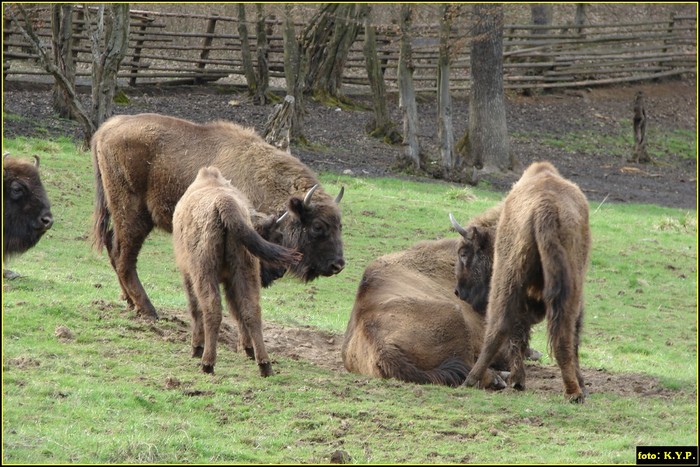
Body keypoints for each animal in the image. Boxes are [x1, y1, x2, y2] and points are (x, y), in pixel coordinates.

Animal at [93, 112, 344, 322]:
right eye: (318, 226)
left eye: (339, 225)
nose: (338, 264)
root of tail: (107, 129)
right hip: (133, 214)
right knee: (124, 256)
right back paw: (149, 310)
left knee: (113, 247)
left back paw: (131, 302)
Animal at [172, 166, 300, 378]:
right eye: (275, 236)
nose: (280, 272)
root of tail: (225, 203)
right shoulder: (231, 280)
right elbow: (238, 311)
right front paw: (247, 349)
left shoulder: (188, 275)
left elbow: (194, 307)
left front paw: (196, 348)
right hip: (245, 271)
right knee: (251, 310)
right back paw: (264, 364)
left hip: (204, 272)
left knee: (211, 309)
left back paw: (207, 363)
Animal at [454, 162, 592, 402]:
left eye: (464, 253)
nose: (458, 291)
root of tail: (545, 209)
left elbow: (517, 332)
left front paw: (518, 381)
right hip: (569, 286)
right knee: (565, 333)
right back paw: (575, 391)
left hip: (507, 279)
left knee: (499, 327)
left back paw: (474, 380)